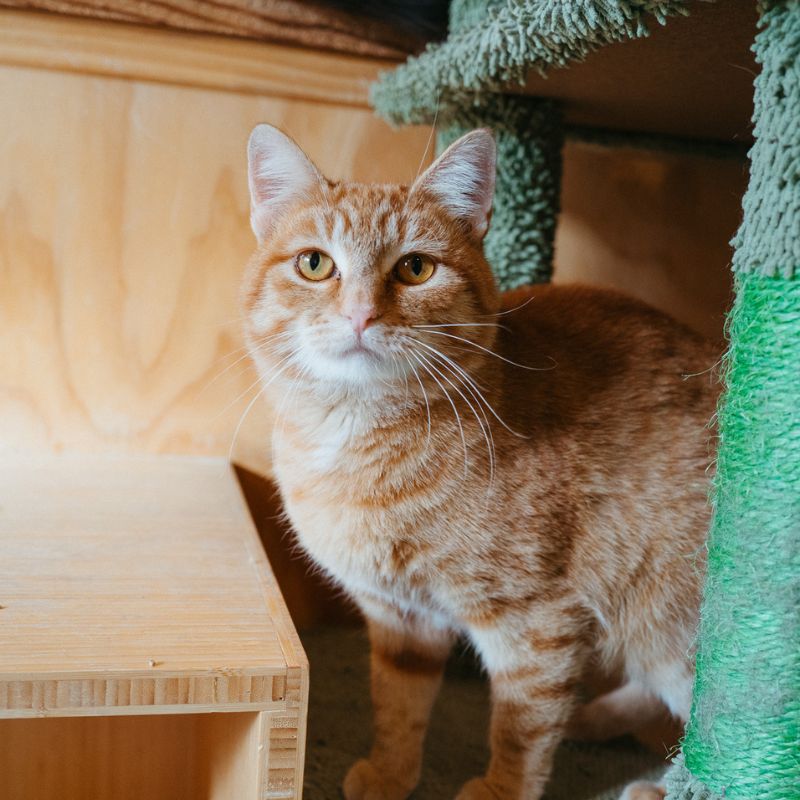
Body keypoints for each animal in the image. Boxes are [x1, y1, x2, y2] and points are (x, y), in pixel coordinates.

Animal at [241, 123, 719, 800]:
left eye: (415, 268)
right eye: (315, 263)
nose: (361, 313)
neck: (358, 442)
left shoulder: (535, 623)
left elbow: (521, 726)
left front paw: (500, 789)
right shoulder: (402, 619)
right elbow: (397, 705)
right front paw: (390, 773)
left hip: (669, 624)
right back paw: (596, 719)